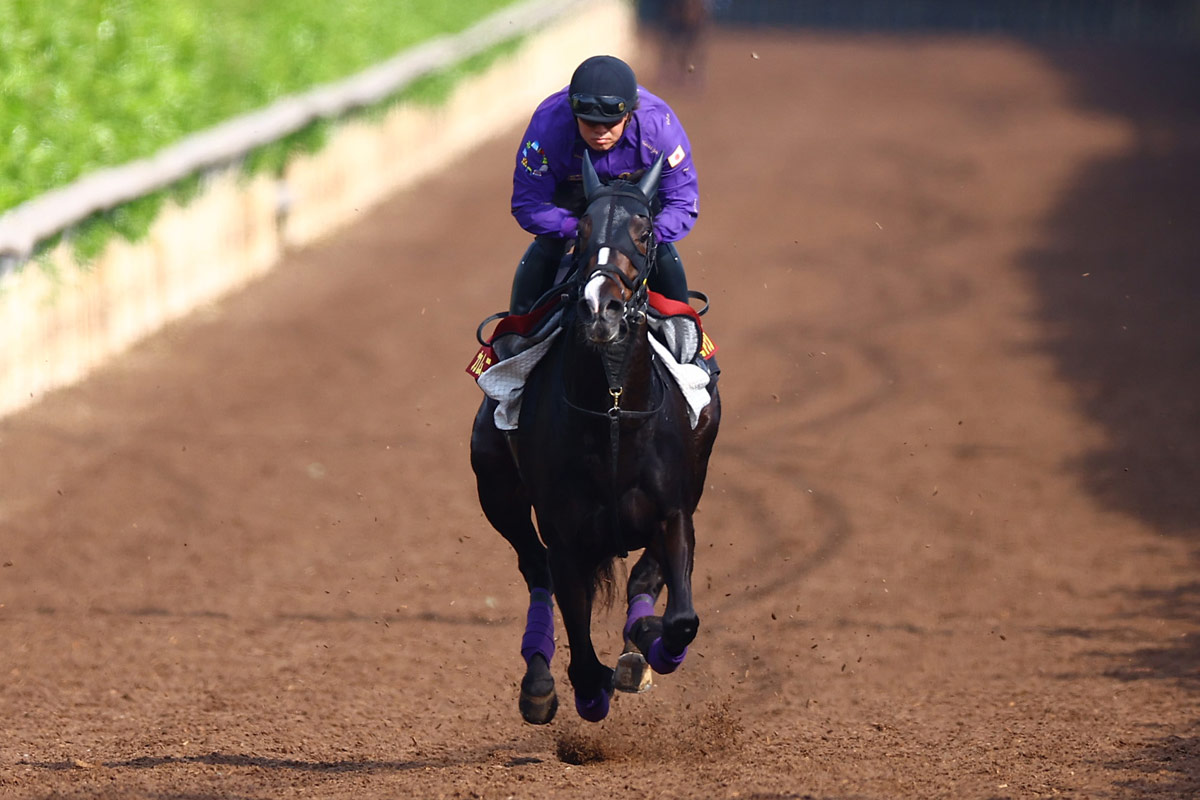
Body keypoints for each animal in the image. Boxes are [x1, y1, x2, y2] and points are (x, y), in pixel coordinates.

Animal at [469, 152, 721, 723]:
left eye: (645, 230)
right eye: (581, 230)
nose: (599, 305)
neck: (613, 415)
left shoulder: (675, 510)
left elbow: (679, 617)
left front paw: (646, 645)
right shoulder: (566, 536)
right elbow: (582, 655)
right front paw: (586, 689)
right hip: (495, 488)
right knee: (533, 566)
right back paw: (538, 682)